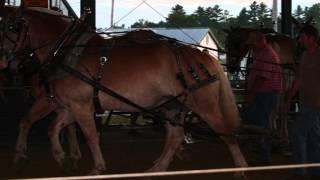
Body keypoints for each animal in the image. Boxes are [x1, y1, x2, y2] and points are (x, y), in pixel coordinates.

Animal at [6, 7, 248, 176]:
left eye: (9, 28)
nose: (9, 63)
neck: (66, 52)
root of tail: (204, 56)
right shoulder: (69, 105)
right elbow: (51, 128)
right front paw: (62, 159)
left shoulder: (79, 105)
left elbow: (89, 135)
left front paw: (96, 167)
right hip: (172, 106)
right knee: (175, 135)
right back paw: (158, 168)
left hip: (204, 106)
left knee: (226, 134)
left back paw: (241, 169)